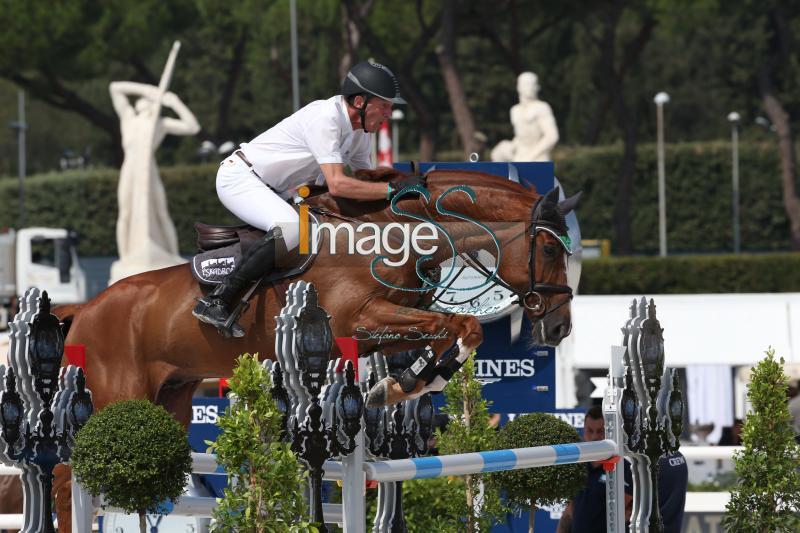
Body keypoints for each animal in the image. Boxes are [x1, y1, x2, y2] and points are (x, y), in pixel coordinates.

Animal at [25, 168, 580, 528]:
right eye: (549, 248)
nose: (558, 329)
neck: (394, 233)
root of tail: (85, 310)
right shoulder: (360, 321)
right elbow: (459, 325)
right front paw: (401, 384)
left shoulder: (386, 324)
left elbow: (457, 330)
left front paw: (400, 384)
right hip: (117, 397)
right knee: (66, 481)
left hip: (170, 399)